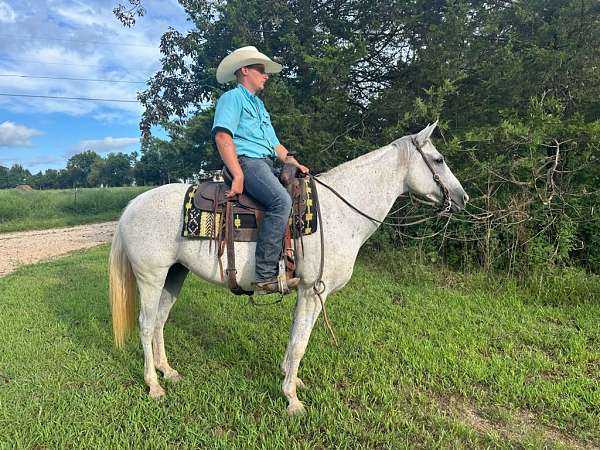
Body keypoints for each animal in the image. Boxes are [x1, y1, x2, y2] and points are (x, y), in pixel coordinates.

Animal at [110, 122, 472, 414]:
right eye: (438, 160)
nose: (463, 198)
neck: (339, 212)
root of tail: (131, 206)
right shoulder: (313, 291)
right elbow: (300, 342)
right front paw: (292, 400)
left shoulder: (309, 293)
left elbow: (297, 337)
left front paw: (291, 382)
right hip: (151, 277)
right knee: (145, 325)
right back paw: (154, 385)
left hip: (175, 274)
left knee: (160, 320)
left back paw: (168, 372)